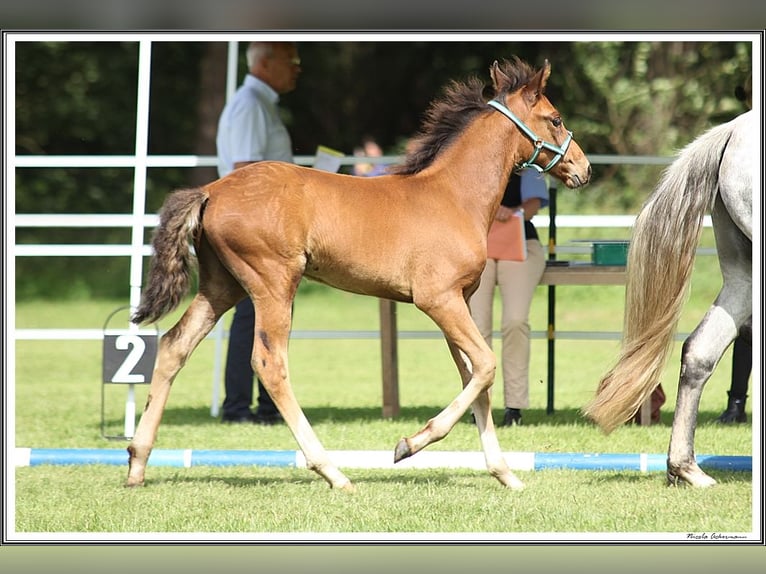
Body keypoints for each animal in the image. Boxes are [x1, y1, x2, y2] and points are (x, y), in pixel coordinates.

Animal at [129, 57, 592, 490]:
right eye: (555, 118)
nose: (583, 168)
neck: (454, 196)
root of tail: (212, 190)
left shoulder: (459, 301)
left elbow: (476, 376)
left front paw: (505, 473)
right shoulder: (438, 299)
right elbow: (485, 364)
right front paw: (409, 444)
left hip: (222, 286)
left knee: (174, 345)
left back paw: (137, 461)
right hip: (273, 283)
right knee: (269, 362)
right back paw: (332, 471)